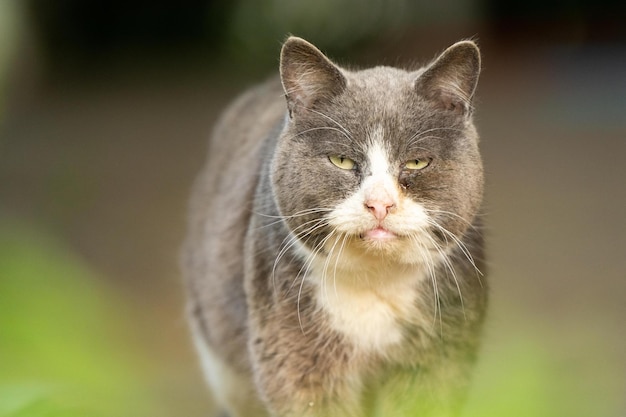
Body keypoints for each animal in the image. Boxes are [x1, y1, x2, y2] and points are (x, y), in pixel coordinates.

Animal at [183, 36, 486, 416]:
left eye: (417, 162)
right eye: (341, 160)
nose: (380, 204)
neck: (375, 281)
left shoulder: (439, 360)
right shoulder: (294, 358)